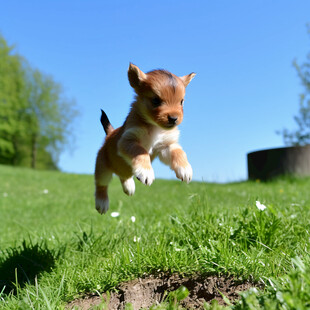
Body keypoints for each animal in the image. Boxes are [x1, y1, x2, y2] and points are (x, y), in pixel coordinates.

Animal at [95, 63, 196, 213]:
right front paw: (146, 171)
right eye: (156, 100)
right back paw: (102, 202)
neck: (155, 128)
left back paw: (129, 186)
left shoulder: (166, 146)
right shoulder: (128, 141)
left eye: (181, 102)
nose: (174, 118)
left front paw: (185, 168)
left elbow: (179, 152)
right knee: (101, 185)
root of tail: (109, 135)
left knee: (123, 175)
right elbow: (141, 151)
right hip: (103, 170)